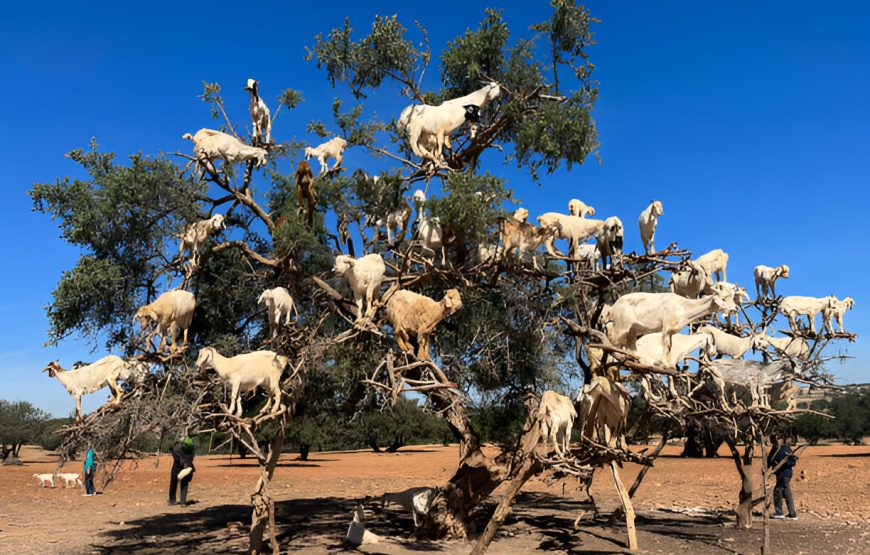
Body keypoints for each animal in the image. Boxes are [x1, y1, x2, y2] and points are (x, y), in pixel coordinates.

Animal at [608, 292, 740, 370]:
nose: (736, 308)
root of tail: (614, 306)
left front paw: (670, 364)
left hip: (632, 331)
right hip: (621, 326)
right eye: (723, 298)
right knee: (612, 340)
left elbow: (670, 345)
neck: (683, 306)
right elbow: (666, 345)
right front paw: (667, 365)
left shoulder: (671, 331)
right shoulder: (666, 328)